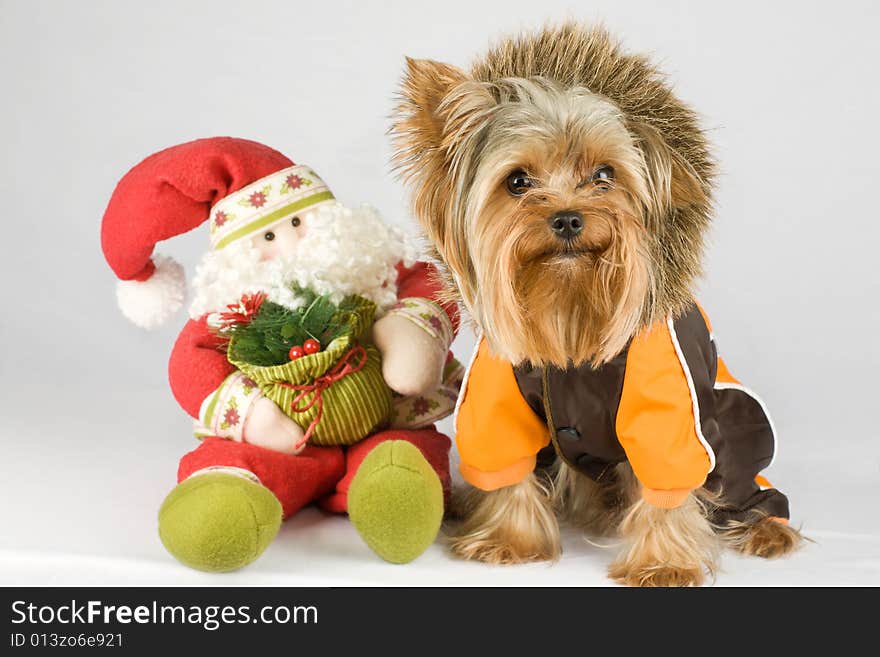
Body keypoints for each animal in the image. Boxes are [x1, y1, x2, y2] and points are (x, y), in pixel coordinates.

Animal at [392, 23, 804, 588]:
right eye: (517, 181)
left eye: (605, 174)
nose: (568, 218)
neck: (570, 312)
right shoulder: (497, 393)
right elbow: (504, 458)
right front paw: (508, 540)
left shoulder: (667, 399)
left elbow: (668, 475)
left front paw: (663, 562)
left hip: (738, 423)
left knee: (746, 481)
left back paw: (767, 529)